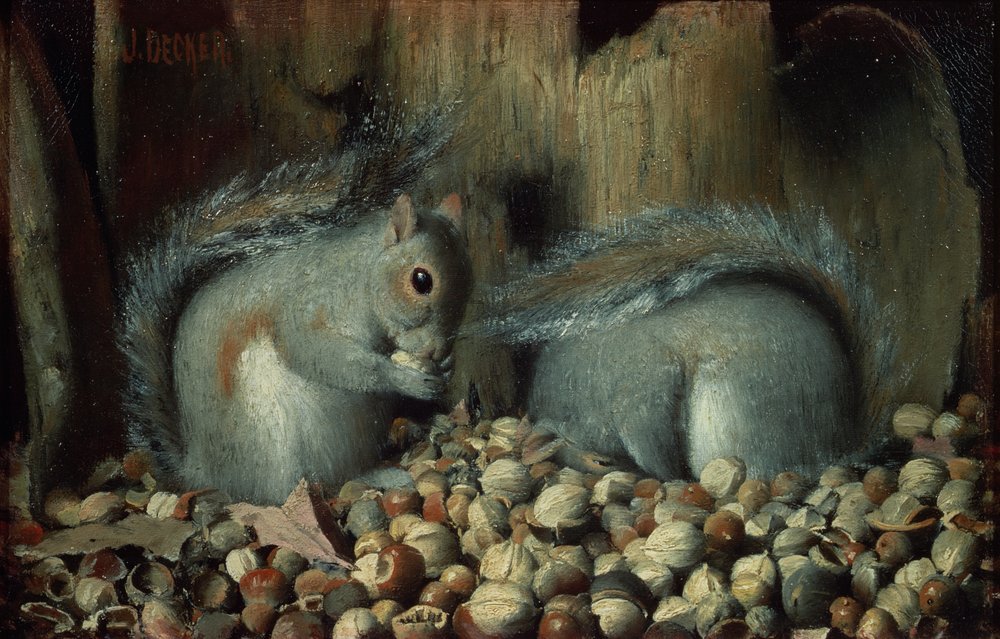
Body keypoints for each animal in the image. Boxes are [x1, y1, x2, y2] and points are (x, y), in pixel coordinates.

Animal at [120, 113, 472, 504]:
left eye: (470, 273)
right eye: (421, 280)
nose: (437, 349)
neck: (361, 274)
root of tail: (202, 472)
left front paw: (445, 365)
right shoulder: (307, 304)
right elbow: (317, 353)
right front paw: (403, 377)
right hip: (274, 441)